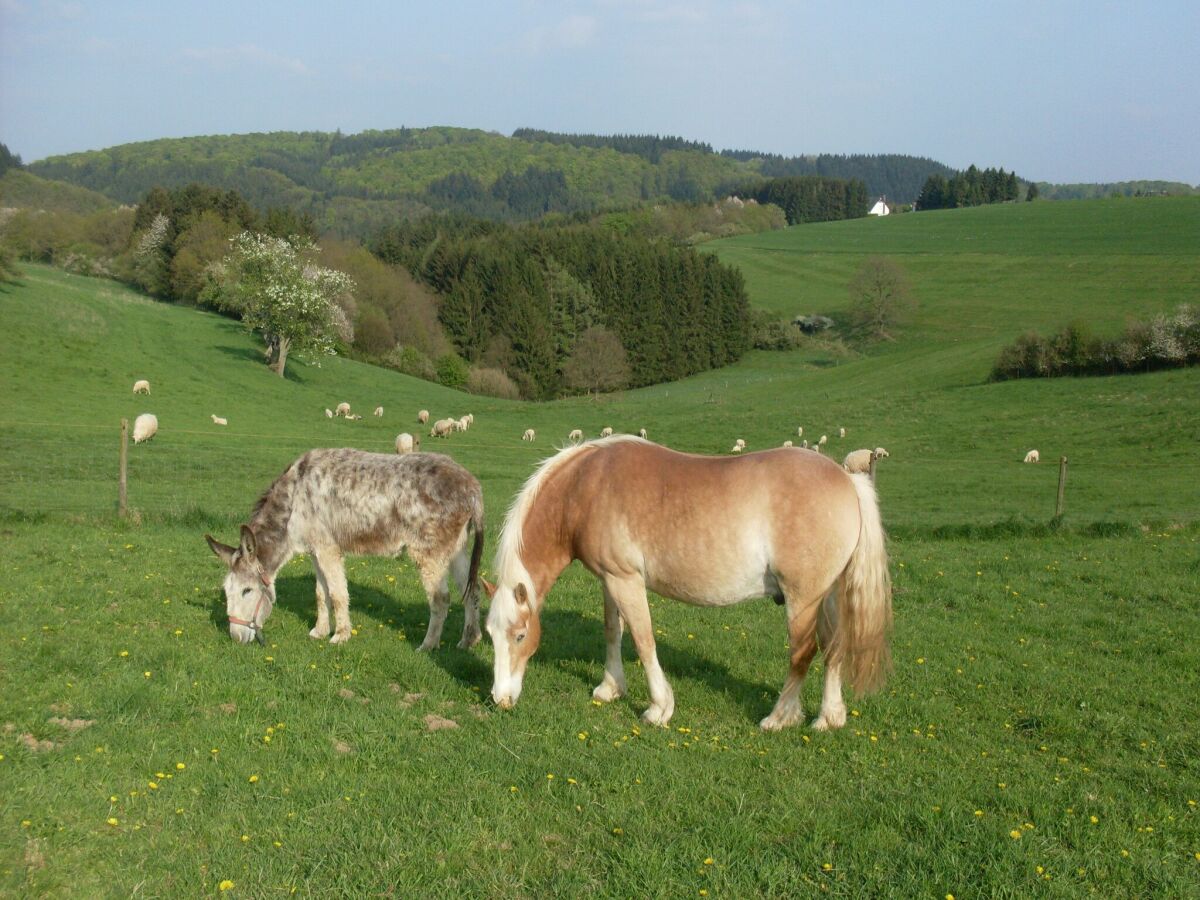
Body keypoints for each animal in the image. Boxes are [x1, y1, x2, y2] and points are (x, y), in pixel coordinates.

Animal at [206, 448, 482, 648]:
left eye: (247, 591)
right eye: (227, 592)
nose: (235, 638)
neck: (294, 500)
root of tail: (472, 486)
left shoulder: (328, 550)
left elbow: (338, 594)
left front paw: (340, 635)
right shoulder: (315, 551)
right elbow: (321, 594)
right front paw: (319, 631)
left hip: (429, 554)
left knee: (441, 599)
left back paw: (428, 646)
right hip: (457, 550)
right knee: (472, 589)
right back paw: (469, 641)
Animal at [484, 439, 892, 734]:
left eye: (520, 636)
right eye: (488, 635)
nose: (500, 699)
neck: (585, 487)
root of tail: (848, 481)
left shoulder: (626, 580)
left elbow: (643, 639)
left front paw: (659, 708)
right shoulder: (610, 580)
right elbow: (613, 631)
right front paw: (610, 688)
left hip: (802, 598)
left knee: (803, 653)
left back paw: (778, 718)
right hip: (828, 596)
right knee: (833, 648)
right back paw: (828, 717)